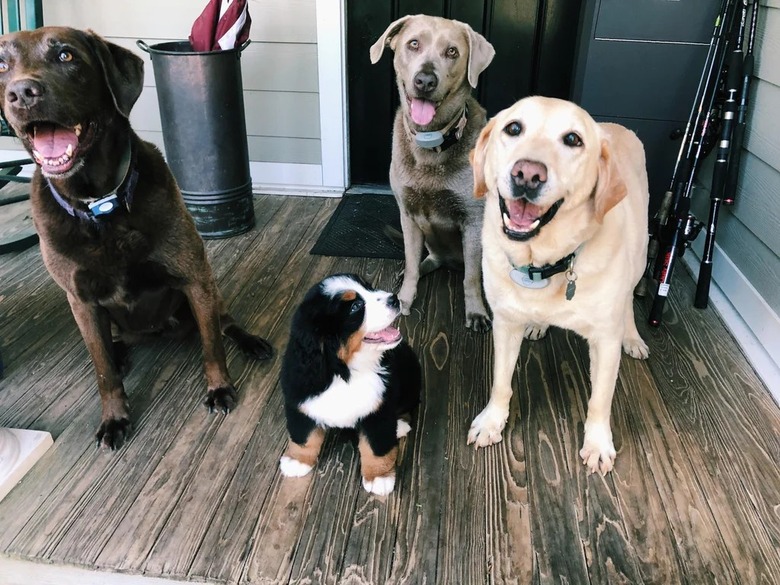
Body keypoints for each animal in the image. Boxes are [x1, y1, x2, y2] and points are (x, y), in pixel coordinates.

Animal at [280, 272, 420, 492]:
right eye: (355, 307)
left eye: (369, 287)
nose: (394, 299)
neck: (345, 371)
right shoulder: (300, 400)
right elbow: (304, 436)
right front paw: (297, 461)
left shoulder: (378, 410)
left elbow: (376, 446)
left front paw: (379, 476)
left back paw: (400, 426)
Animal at [370, 13, 494, 330]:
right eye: (413, 44)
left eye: (452, 52)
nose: (425, 80)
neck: (431, 142)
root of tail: (452, 262)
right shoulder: (408, 214)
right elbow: (412, 262)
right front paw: (404, 298)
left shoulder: (473, 220)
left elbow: (472, 277)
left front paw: (476, 312)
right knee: (429, 258)